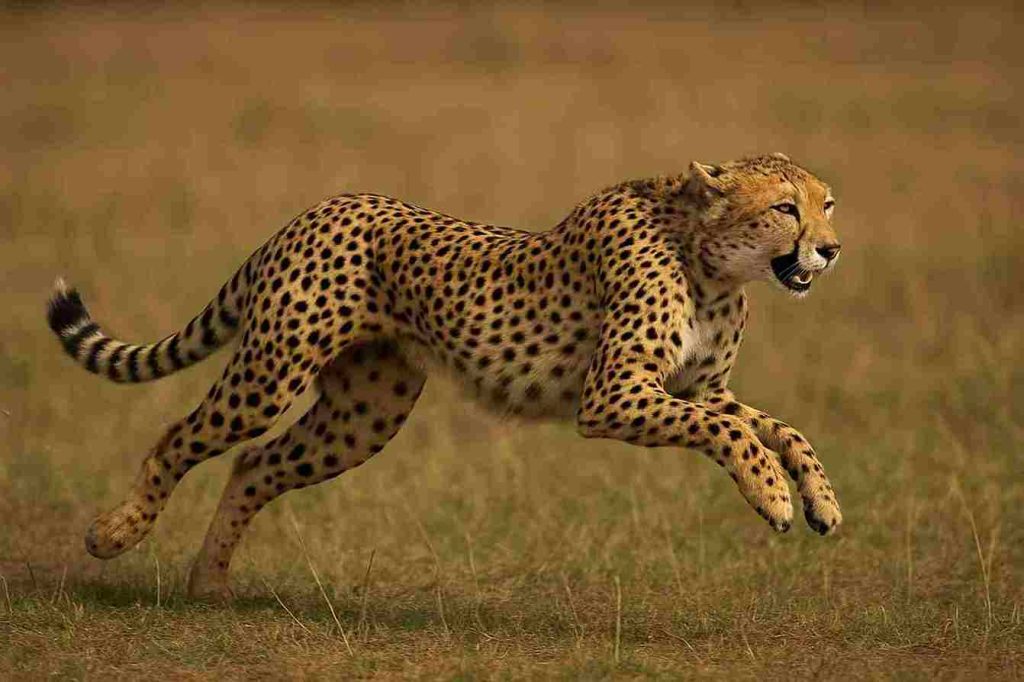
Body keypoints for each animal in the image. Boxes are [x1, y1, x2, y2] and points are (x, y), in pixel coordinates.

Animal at [46, 152, 843, 600]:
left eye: (827, 203)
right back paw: (115, 534)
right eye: (786, 208)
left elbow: (784, 429)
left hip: (362, 416)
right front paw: (773, 495)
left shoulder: (698, 389)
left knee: (255, 464)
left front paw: (822, 501)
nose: (831, 249)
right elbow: (732, 435)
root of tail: (318, 208)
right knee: (179, 436)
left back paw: (208, 581)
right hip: (269, 375)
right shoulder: (614, 394)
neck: (709, 258)